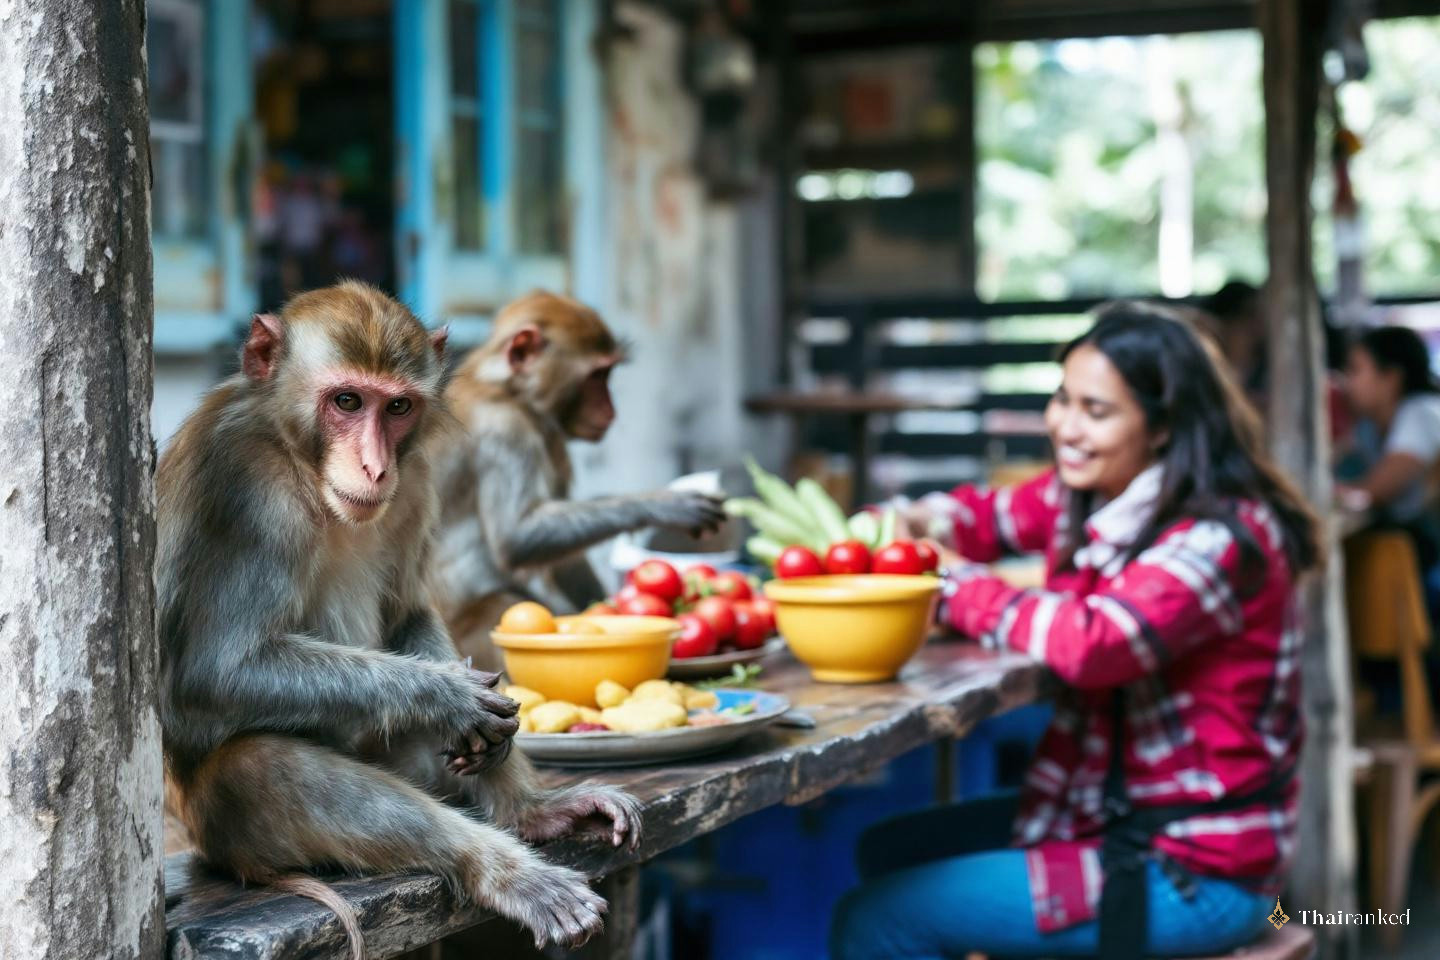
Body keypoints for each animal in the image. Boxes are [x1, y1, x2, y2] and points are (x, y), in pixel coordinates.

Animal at [157, 282, 643, 956]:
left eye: (398, 408)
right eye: (346, 400)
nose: (375, 466)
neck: (297, 458)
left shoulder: (414, 480)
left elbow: (406, 611)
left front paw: (480, 727)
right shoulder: (240, 486)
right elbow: (215, 671)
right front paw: (447, 696)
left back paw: (532, 812)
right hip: (219, 827)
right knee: (259, 764)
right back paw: (504, 871)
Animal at [429, 290, 727, 669]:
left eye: (607, 373)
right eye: (597, 375)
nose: (611, 409)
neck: (505, 388)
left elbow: (563, 556)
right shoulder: (504, 427)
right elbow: (517, 537)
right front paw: (665, 505)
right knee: (502, 604)